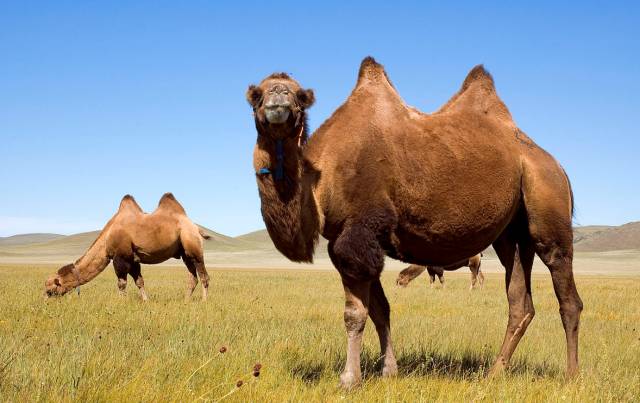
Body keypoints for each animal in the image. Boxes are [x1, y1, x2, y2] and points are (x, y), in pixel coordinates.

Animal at [45, 194, 210, 302]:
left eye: (50, 289)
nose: (45, 301)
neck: (106, 239)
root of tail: (196, 228)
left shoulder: (120, 257)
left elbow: (121, 283)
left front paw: (120, 302)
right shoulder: (133, 259)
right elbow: (139, 281)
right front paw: (145, 301)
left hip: (192, 245)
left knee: (203, 275)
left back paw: (204, 301)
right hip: (184, 253)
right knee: (192, 277)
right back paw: (186, 300)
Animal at [246, 56, 584, 388]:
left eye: (299, 96)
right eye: (256, 95)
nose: (278, 97)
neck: (321, 178)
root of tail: (556, 164)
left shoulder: (357, 234)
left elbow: (355, 313)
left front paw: (349, 379)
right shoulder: (362, 242)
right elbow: (381, 310)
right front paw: (389, 371)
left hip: (547, 205)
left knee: (567, 293)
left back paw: (570, 376)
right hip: (511, 234)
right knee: (519, 302)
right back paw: (493, 373)